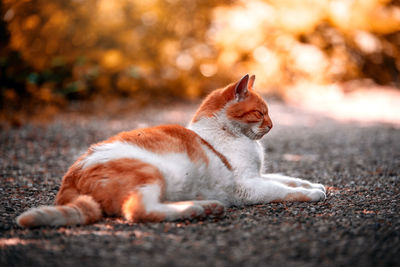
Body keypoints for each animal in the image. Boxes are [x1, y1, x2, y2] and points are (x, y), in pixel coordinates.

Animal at [17, 74, 326, 227]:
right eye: (260, 114)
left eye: (268, 114)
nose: (272, 125)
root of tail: (70, 178)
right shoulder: (248, 185)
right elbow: (283, 190)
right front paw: (312, 193)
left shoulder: (258, 175)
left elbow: (288, 179)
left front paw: (315, 185)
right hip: (150, 172)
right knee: (139, 211)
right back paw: (200, 209)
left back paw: (207, 206)